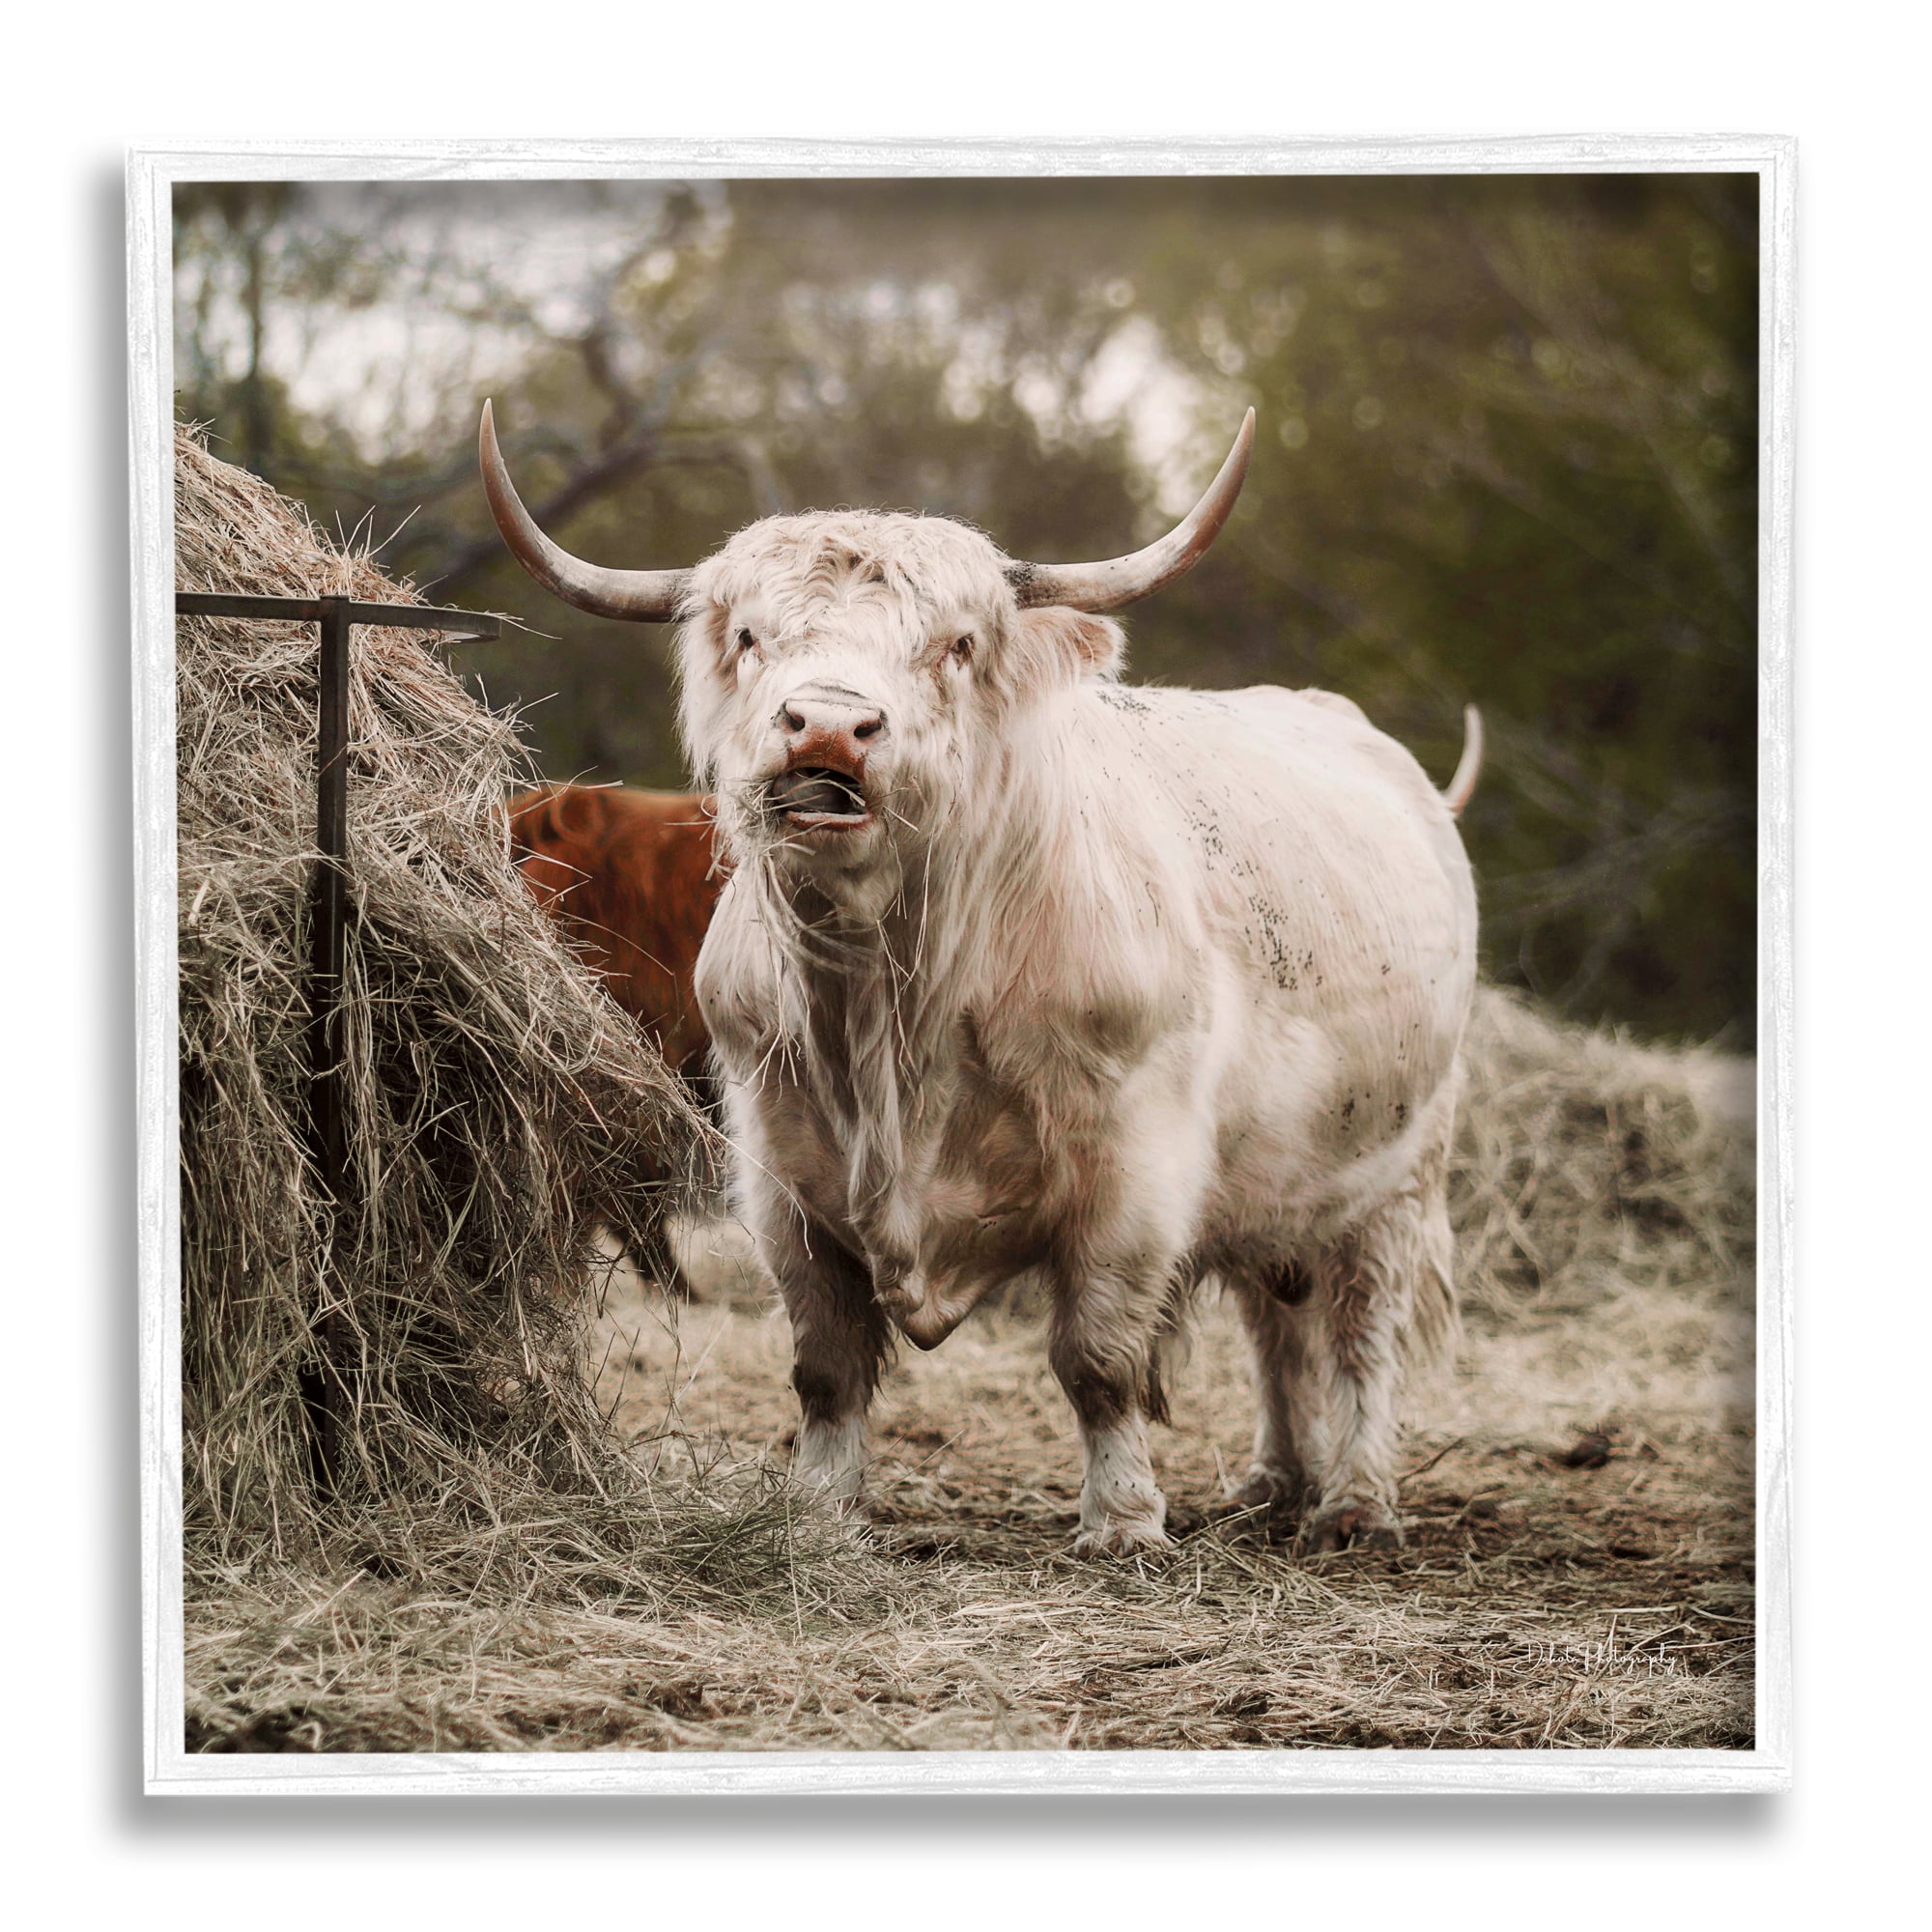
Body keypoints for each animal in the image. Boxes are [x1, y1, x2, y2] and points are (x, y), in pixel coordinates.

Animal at [479, 399, 1481, 1558]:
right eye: (749, 636)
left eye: (954, 645)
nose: (828, 726)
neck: (891, 1003)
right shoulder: (781, 1175)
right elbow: (825, 1364)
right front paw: (817, 1515)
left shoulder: (1131, 1175)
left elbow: (1098, 1358)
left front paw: (1121, 1522)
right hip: (1273, 1180)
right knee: (1275, 1323)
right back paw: (1275, 1480)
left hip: (1396, 1176)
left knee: (1362, 1329)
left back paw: (1357, 1499)